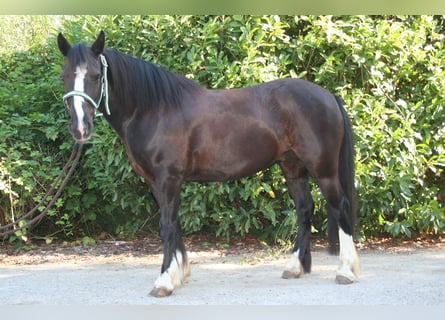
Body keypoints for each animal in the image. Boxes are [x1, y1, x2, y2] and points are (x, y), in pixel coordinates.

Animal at [57, 31, 360, 296]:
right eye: (64, 76)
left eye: (96, 76)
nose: (80, 128)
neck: (154, 110)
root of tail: (328, 96)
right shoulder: (158, 183)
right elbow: (174, 224)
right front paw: (179, 274)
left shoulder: (168, 178)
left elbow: (166, 226)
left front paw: (164, 281)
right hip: (293, 167)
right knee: (304, 209)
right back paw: (295, 267)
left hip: (323, 169)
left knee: (341, 207)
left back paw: (346, 271)